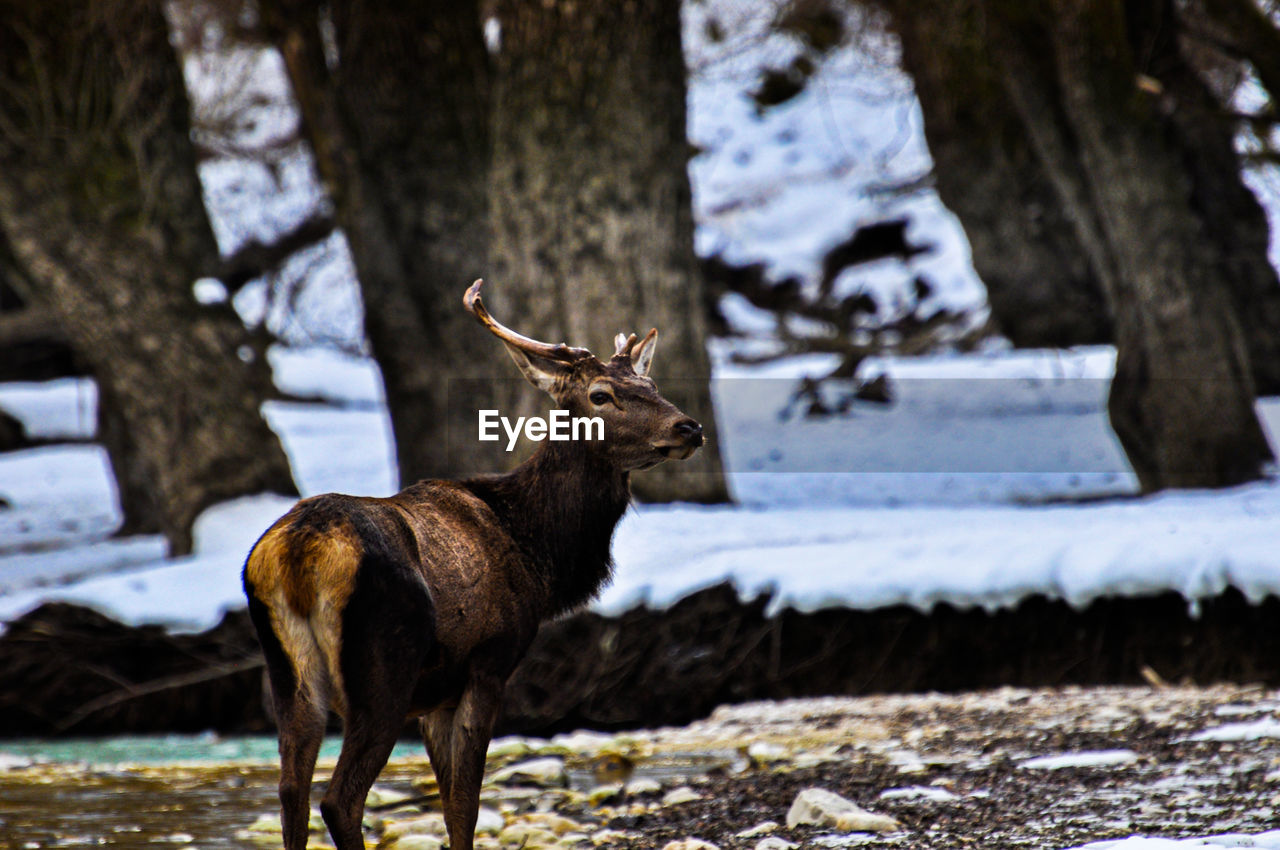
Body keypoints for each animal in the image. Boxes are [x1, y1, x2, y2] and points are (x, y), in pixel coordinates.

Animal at [240, 280, 701, 850]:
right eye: (600, 395)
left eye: (651, 382)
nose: (689, 427)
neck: (541, 558)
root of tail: (299, 553)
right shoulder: (488, 663)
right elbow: (465, 806)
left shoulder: (436, 698)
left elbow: (449, 804)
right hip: (384, 669)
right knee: (339, 799)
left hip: (289, 676)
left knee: (290, 795)